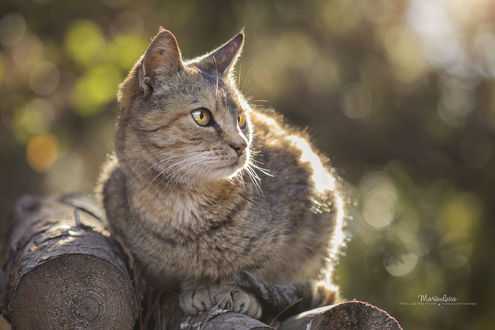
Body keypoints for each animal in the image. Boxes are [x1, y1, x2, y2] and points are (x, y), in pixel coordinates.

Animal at [97, 27, 344, 320]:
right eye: (202, 116)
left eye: (241, 119)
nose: (242, 145)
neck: (181, 204)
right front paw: (197, 286)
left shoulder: (314, 191)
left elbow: (258, 266)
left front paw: (234, 290)